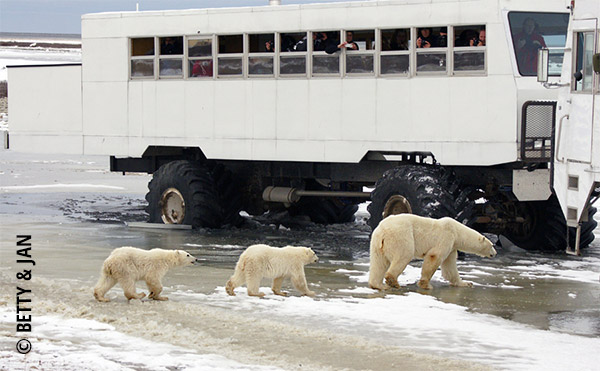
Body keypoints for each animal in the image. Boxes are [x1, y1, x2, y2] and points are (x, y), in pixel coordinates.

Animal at [368, 215, 500, 290]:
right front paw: (426, 285)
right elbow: (435, 256)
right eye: (492, 245)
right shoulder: (446, 237)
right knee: (404, 255)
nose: (495, 253)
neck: (457, 232)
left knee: (378, 263)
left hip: (377, 244)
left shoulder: (452, 247)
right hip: (401, 236)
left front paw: (466, 283)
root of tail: (383, 231)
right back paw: (393, 282)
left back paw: (379, 285)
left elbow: (450, 267)